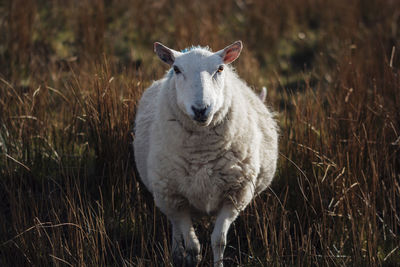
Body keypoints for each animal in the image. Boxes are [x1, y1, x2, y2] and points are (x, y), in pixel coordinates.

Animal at [134, 40, 278, 267]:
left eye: (220, 69)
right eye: (177, 69)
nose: (201, 109)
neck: (202, 153)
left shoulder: (236, 194)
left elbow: (218, 240)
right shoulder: (175, 198)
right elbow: (192, 245)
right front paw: (191, 259)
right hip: (166, 197)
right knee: (175, 229)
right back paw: (176, 253)